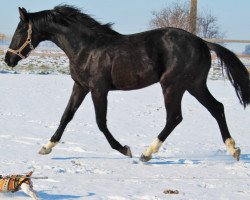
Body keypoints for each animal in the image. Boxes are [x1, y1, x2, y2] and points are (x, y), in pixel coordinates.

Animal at [4, 5, 249, 162]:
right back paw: (233, 150)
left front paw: (124, 149)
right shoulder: (80, 87)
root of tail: (203, 42)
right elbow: (66, 116)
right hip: (194, 85)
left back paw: (147, 153)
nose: (8, 59)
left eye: (19, 30)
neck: (86, 47)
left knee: (175, 117)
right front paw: (46, 147)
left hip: (173, 86)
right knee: (217, 108)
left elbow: (100, 122)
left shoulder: (99, 90)